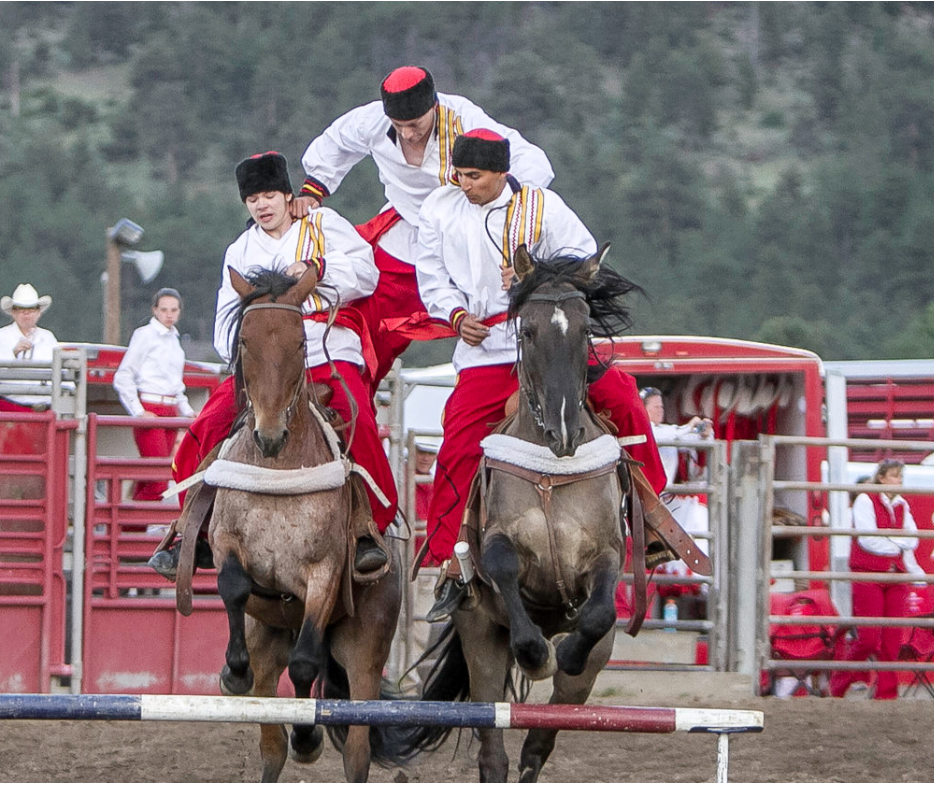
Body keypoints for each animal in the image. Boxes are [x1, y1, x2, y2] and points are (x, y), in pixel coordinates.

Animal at [210, 266, 404, 780]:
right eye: (245, 342)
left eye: (300, 341)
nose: (270, 434)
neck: (279, 470)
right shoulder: (224, 542)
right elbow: (234, 585)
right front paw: (233, 670)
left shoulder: (324, 574)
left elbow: (304, 666)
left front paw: (308, 734)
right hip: (269, 636)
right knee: (272, 744)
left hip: (365, 653)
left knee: (353, 746)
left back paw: (309, 736)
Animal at [398, 246, 648, 780]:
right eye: (527, 330)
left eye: (585, 329)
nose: (563, 431)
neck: (552, 472)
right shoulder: (498, 545)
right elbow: (502, 565)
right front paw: (536, 654)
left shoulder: (607, 554)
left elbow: (598, 610)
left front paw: (566, 651)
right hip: (480, 644)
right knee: (493, 754)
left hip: (584, 680)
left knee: (538, 746)